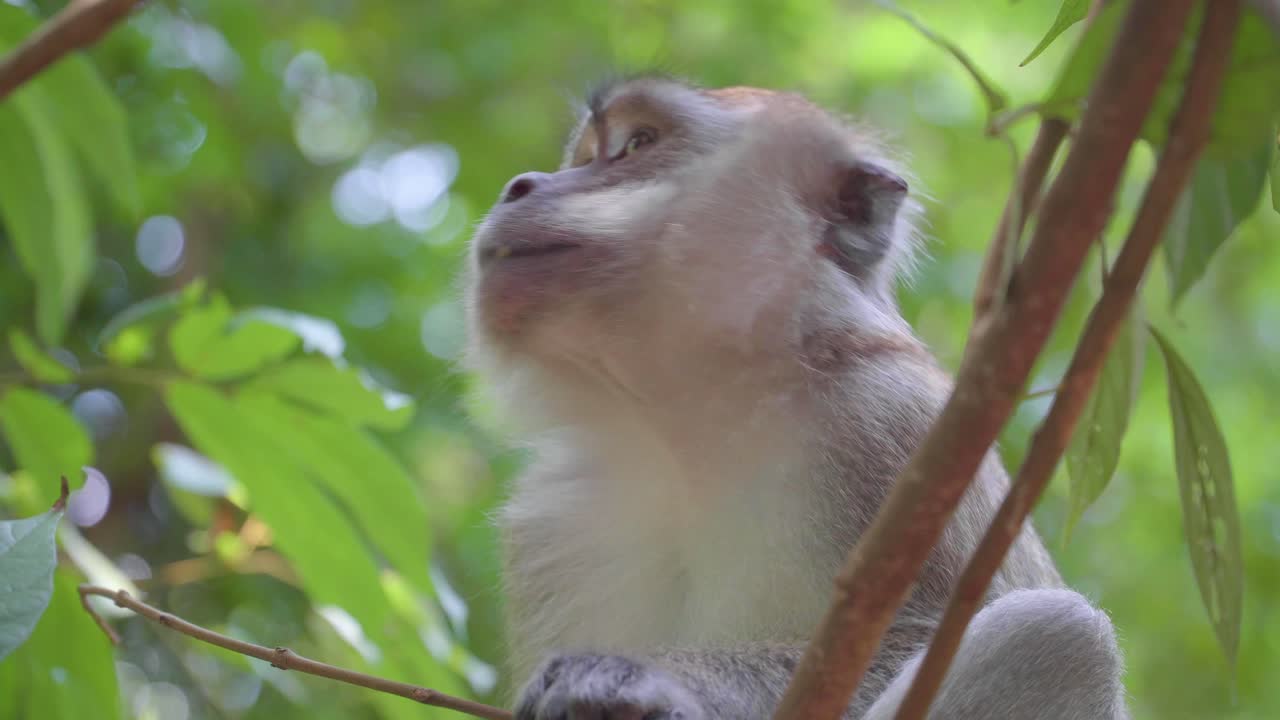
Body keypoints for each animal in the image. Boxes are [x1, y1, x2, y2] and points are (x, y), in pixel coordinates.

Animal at [463, 75, 1128, 720]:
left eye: (636, 145)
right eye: (584, 156)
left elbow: (915, 639)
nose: (519, 186)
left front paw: (645, 679)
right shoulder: (552, 516)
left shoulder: (894, 429)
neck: (686, 420)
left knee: (1060, 636)